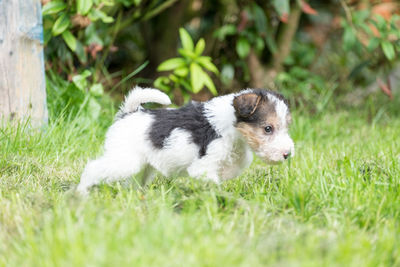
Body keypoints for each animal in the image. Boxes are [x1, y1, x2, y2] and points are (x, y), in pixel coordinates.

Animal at [76, 87, 294, 195]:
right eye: (268, 128)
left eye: (287, 126)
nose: (287, 154)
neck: (230, 125)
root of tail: (128, 113)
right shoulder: (203, 167)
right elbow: (213, 181)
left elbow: (238, 164)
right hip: (124, 160)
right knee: (92, 168)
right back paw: (81, 193)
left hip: (143, 167)